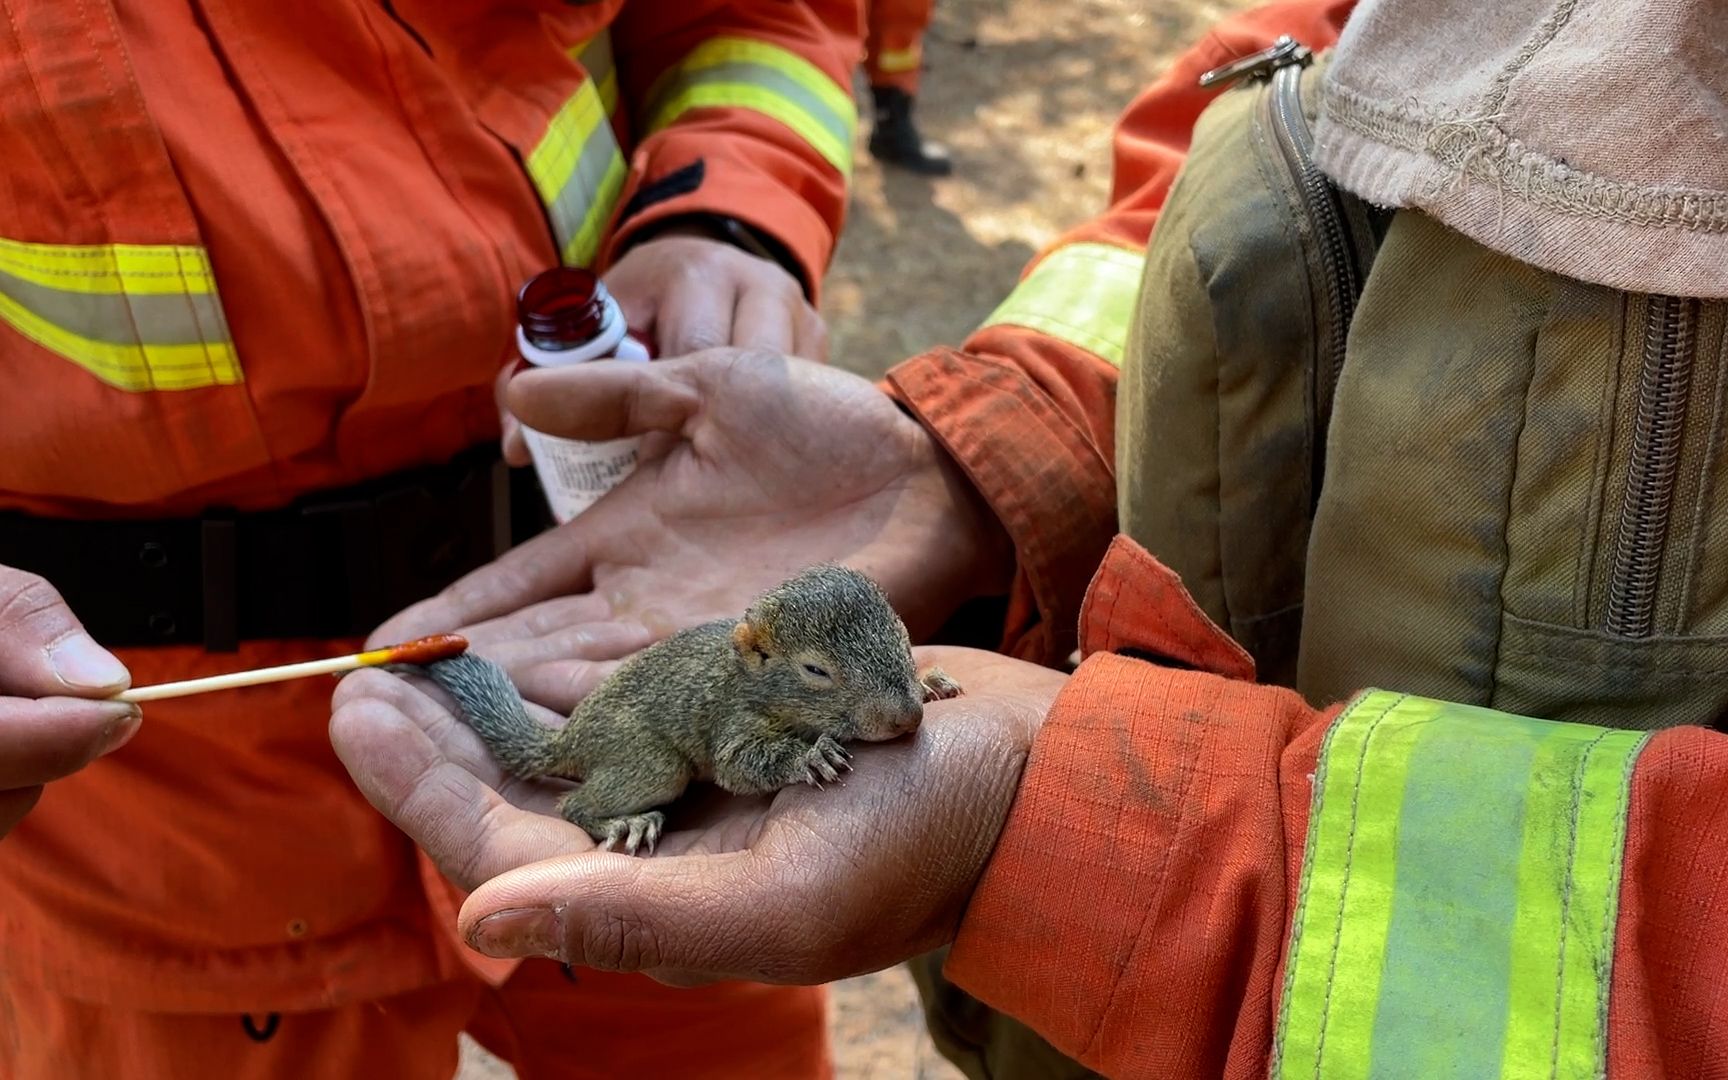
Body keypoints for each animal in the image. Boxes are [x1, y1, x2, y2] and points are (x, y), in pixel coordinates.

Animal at [407, 570, 974, 853]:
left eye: (902, 630)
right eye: (816, 671)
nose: (905, 718)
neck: (749, 678)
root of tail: (568, 738)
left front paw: (931, 683)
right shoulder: (733, 719)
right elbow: (737, 763)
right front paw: (809, 756)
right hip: (649, 761)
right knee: (572, 806)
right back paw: (622, 824)